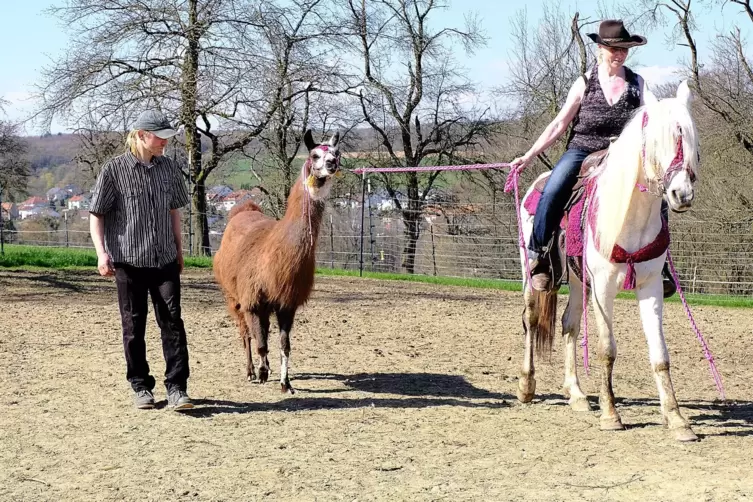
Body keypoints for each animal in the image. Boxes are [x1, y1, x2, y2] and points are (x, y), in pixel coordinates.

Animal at [516, 80, 700, 442]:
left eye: (690, 141)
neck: (630, 216)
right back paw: (527, 385)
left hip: (577, 280)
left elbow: (660, 354)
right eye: (654, 141)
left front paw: (676, 419)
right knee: (531, 320)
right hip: (532, 276)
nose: (681, 195)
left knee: (569, 324)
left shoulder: (650, 286)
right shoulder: (603, 287)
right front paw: (611, 414)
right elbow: (607, 349)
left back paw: (576, 394)